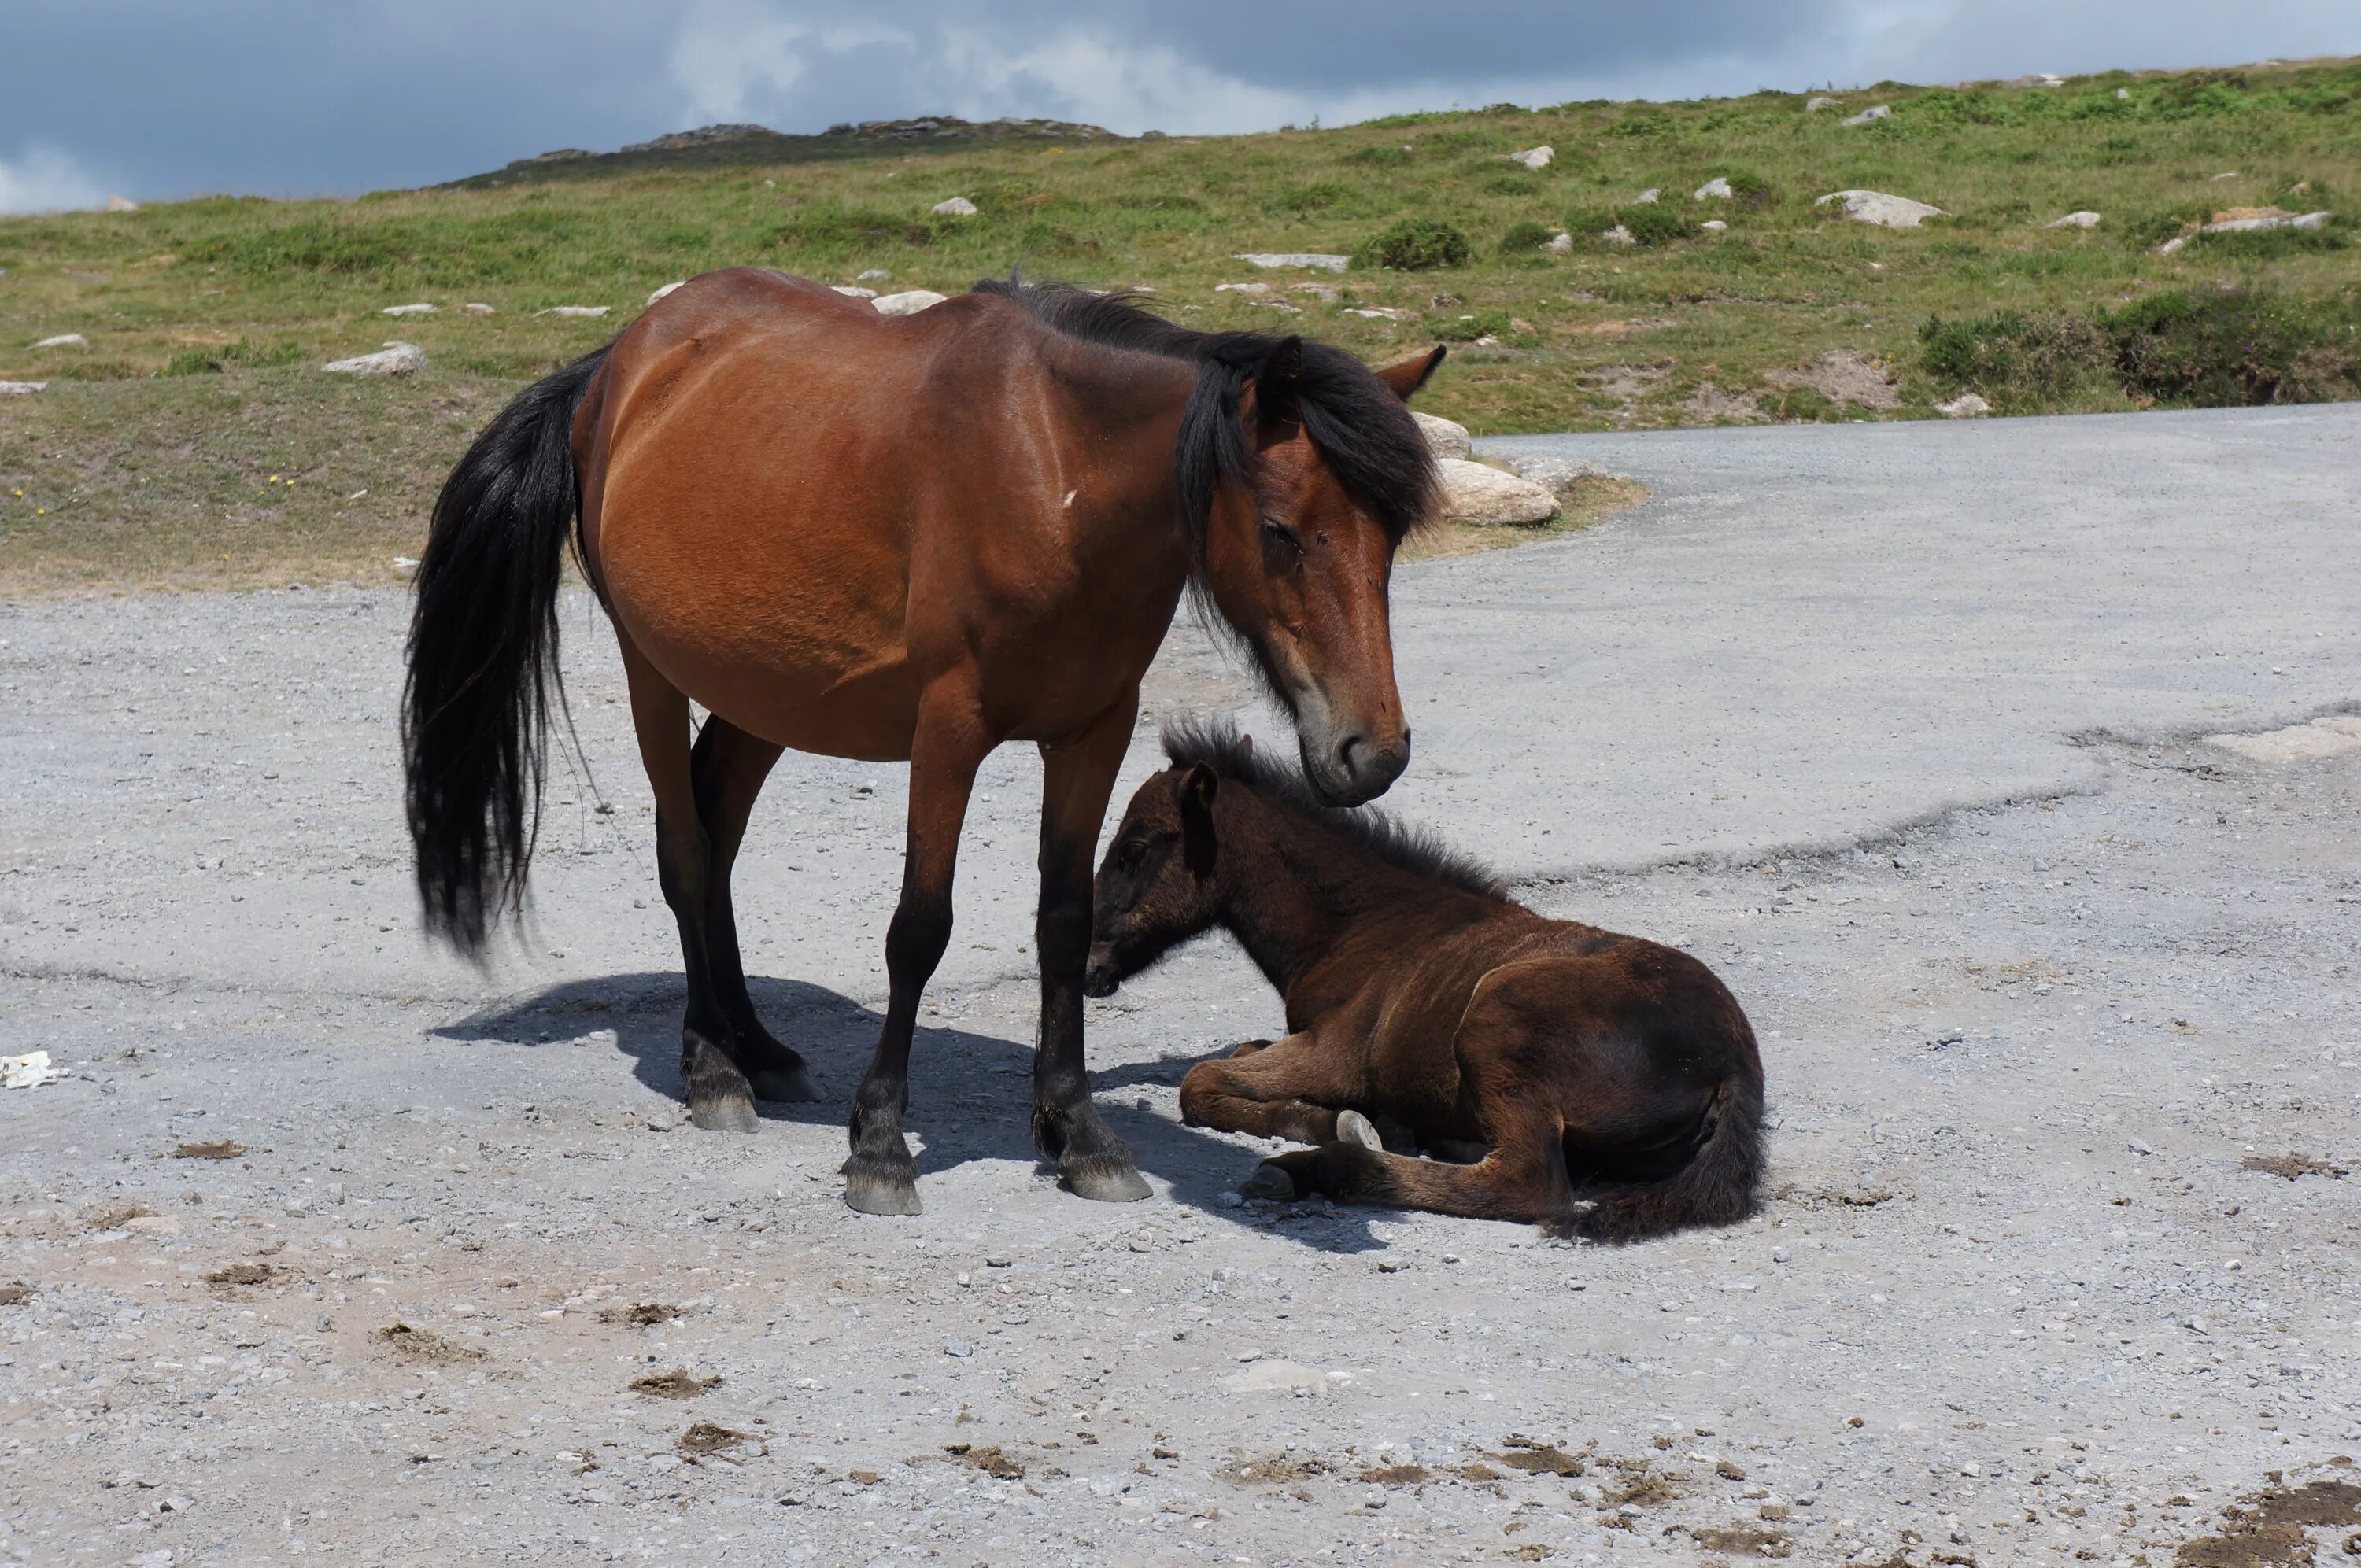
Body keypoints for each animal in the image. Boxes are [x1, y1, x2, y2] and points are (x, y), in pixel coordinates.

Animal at [399, 275, 1445, 1218]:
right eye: (1279, 530)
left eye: (1392, 534)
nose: (1372, 750)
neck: (1054, 472)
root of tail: (620, 363)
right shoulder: (949, 731)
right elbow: (919, 929)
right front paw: (880, 1146)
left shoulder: (1092, 731)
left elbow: (1063, 923)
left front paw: (1080, 1134)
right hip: (653, 671)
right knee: (689, 854)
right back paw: (713, 1068)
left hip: (765, 694)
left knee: (716, 835)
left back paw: (758, 1047)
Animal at [1081, 727, 1766, 1246]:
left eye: (1133, 847)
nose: (1085, 965)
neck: (1359, 927)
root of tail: (1735, 1062)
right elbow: (1234, 1058)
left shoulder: (1335, 1054)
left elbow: (1199, 1083)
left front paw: (1322, 1121)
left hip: (1496, 1018)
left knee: (1527, 1183)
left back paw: (1317, 1168)